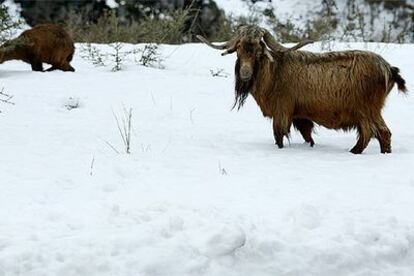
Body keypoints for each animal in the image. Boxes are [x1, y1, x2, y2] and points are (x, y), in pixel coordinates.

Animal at [198, 25, 408, 155]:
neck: (274, 71)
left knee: (375, 132)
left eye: (259, 49)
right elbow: (307, 134)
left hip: (367, 109)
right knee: (381, 133)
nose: (245, 73)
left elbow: (279, 134)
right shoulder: (301, 116)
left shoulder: (282, 110)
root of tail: (389, 69)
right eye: (239, 47)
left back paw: (355, 151)